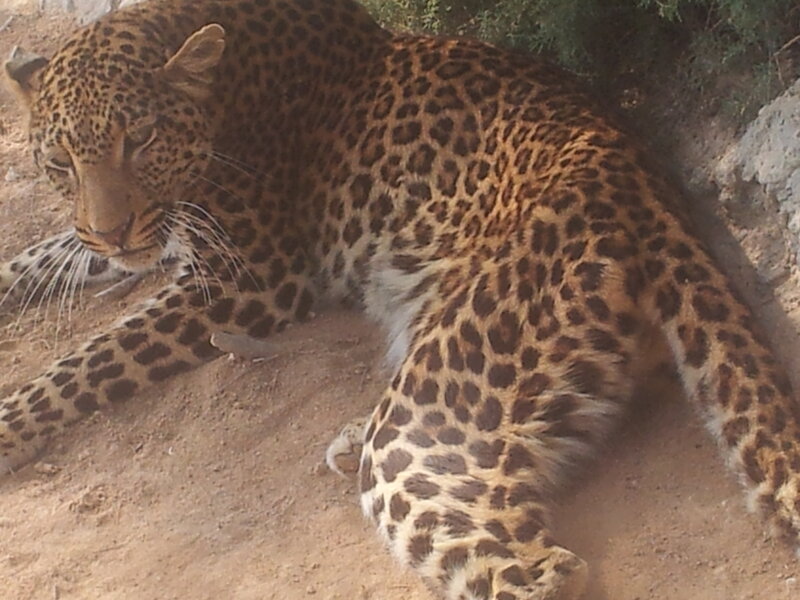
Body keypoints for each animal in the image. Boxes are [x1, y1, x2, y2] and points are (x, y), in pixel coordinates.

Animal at [1, 0, 799, 598]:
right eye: (59, 162)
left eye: (139, 140)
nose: (111, 230)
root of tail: (642, 181)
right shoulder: (152, 241)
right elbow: (47, 254)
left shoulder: (246, 282)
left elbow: (86, 360)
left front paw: (9, 424)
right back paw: (353, 432)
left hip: (430, 411)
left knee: (539, 569)